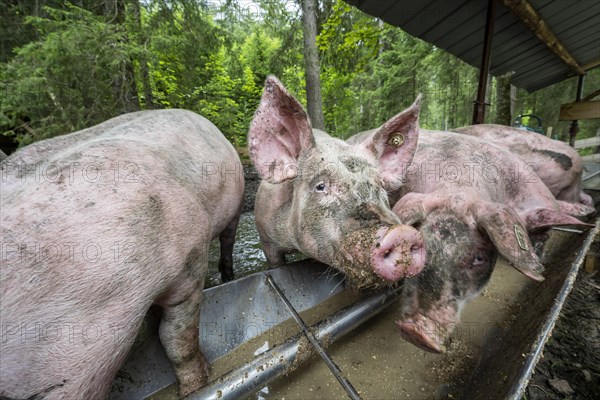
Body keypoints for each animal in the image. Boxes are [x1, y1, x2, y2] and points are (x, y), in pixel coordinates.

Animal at [0, 108, 244, 396]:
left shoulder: (189, 258)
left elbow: (177, 340)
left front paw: (195, 386)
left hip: (234, 206)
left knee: (228, 242)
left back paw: (229, 277)